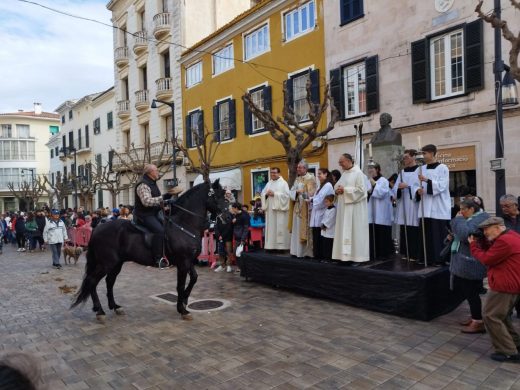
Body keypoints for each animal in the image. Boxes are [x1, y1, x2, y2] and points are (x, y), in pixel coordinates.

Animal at [70, 180, 226, 320]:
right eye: (217, 196)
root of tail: (97, 229)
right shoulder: (183, 262)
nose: (227, 216)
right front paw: (182, 309)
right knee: (92, 280)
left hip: (116, 263)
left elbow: (194, 278)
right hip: (106, 263)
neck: (184, 224)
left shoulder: (189, 260)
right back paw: (100, 310)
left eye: (224, 195)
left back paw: (114, 306)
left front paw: (185, 300)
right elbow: (180, 285)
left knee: (109, 281)